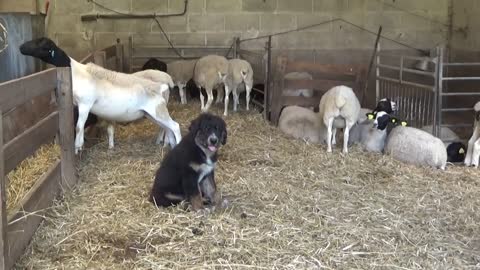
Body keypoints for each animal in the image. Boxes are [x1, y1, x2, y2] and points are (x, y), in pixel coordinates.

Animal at [19, 37, 182, 154]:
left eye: (40, 43)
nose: (21, 47)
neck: (76, 72)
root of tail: (162, 86)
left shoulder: (85, 104)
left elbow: (78, 127)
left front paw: (78, 146)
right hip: (151, 114)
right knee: (167, 128)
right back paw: (170, 147)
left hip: (157, 110)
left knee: (175, 126)